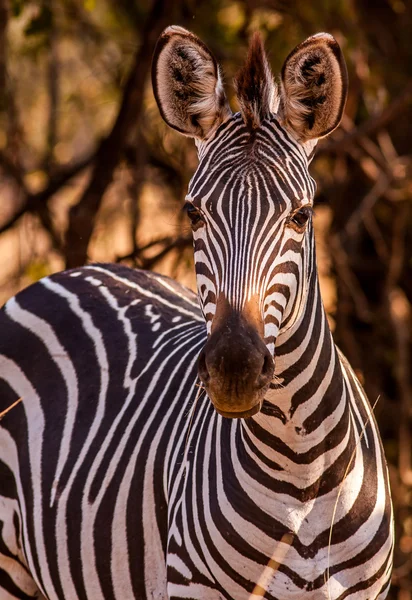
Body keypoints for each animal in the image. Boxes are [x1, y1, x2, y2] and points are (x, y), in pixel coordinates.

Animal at [0, 24, 392, 600]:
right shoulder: (191, 582)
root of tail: (80, 270)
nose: (234, 371)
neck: (302, 468)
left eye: (302, 216)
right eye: (193, 213)